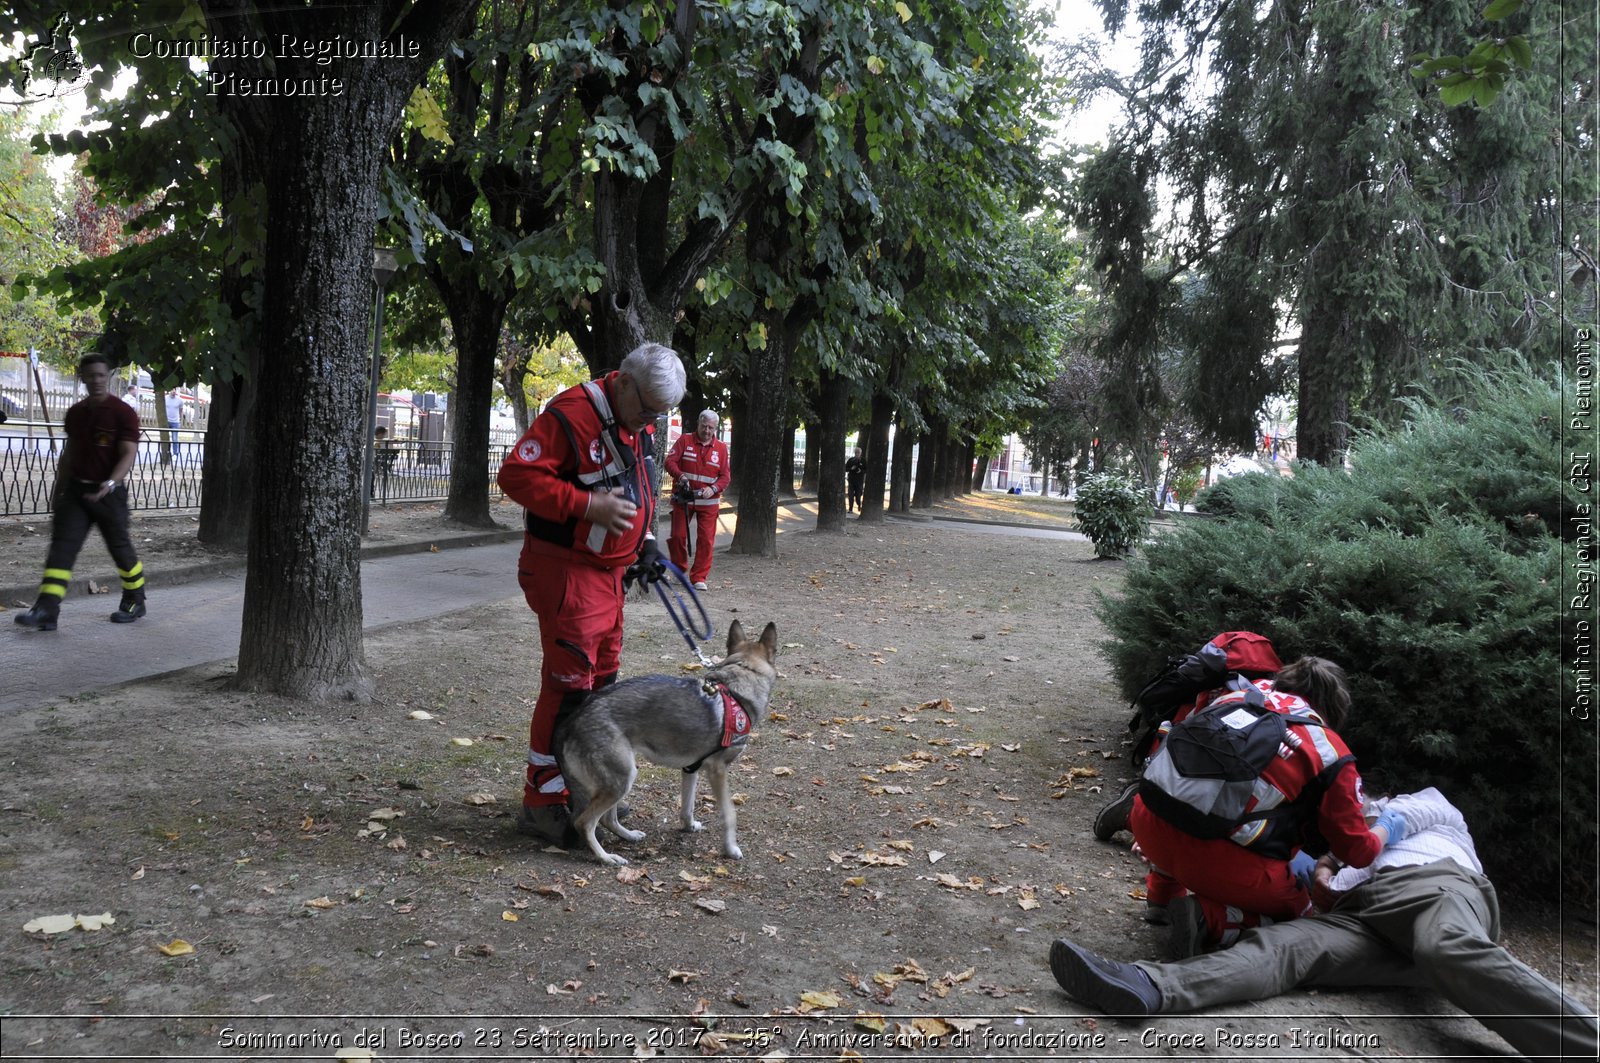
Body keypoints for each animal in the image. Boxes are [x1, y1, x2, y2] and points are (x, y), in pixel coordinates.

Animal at [553, 624, 777, 864]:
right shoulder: (718, 771)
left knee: (607, 819)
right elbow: (729, 814)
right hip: (622, 780)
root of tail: (571, 721)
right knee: (584, 822)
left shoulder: (691, 769)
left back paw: (629, 836)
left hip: (618, 782)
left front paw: (689, 827)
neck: (737, 689)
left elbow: (687, 807)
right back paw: (607, 858)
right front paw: (731, 849)